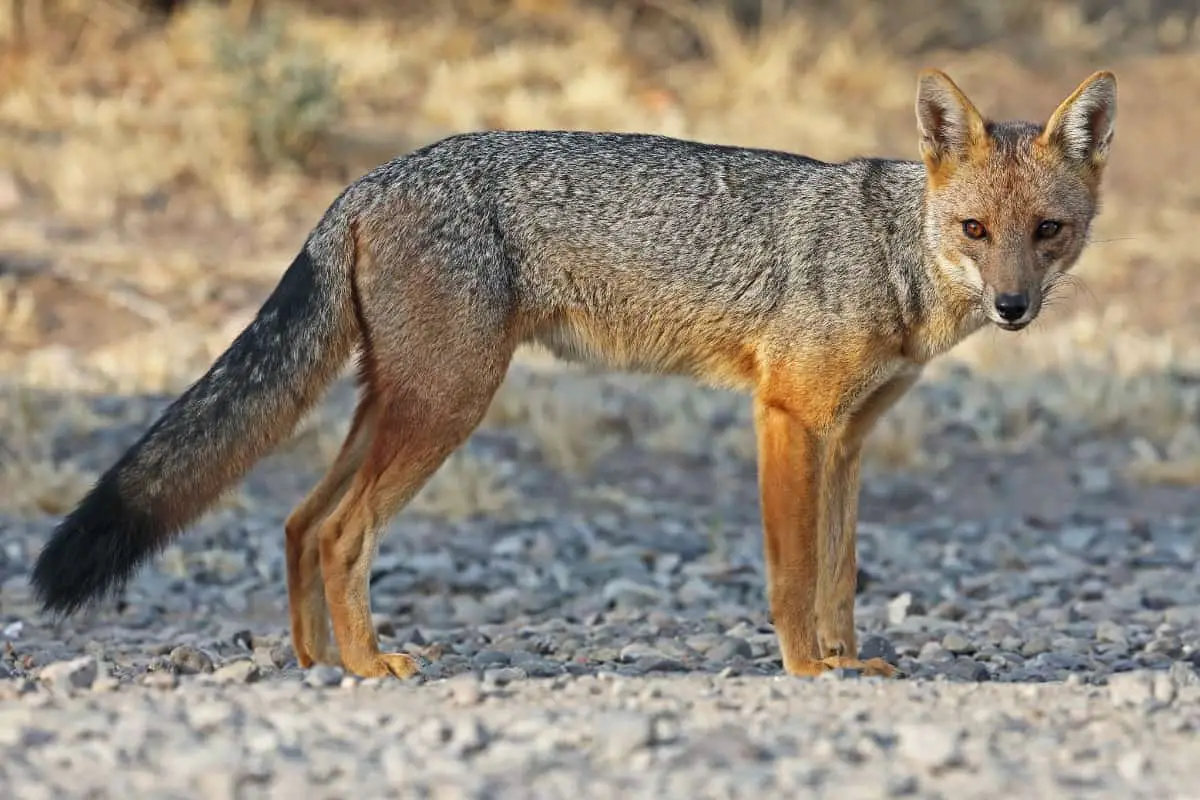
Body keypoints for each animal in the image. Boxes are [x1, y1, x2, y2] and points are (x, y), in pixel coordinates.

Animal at [28, 70, 1113, 681]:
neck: (886, 253)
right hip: (448, 404)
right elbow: (793, 572)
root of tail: (369, 179)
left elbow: (841, 569)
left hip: (403, 401)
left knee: (299, 519)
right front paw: (809, 669)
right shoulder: (786, 418)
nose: (1014, 306)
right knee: (338, 531)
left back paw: (317, 659)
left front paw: (851, 660)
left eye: (1047, 232)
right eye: (974, 230)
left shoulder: (847, 438)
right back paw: (372, 664)